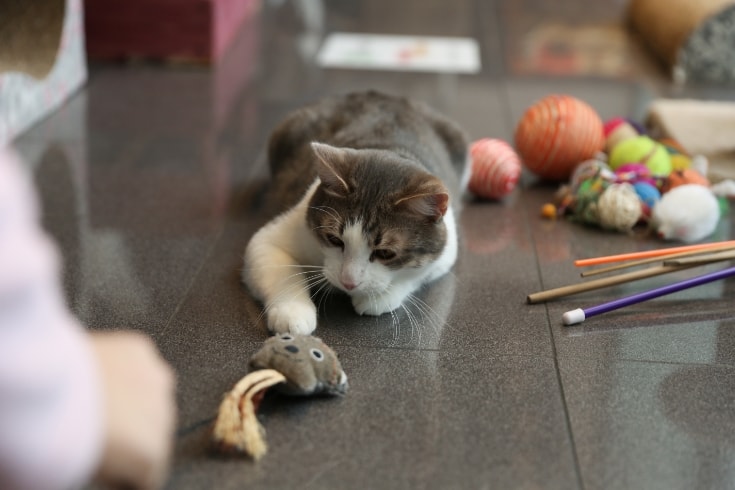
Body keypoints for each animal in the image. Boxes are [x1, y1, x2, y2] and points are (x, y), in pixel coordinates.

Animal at [244, 90, 468, 334]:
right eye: (334, 239)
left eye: (385, 253)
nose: (348, 282)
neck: (388, 149)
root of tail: (379, 94)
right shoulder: (281, 231)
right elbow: (278, 264)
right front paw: (293, 312)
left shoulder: (448, 246)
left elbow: (418, 273)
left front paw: (379, 297)